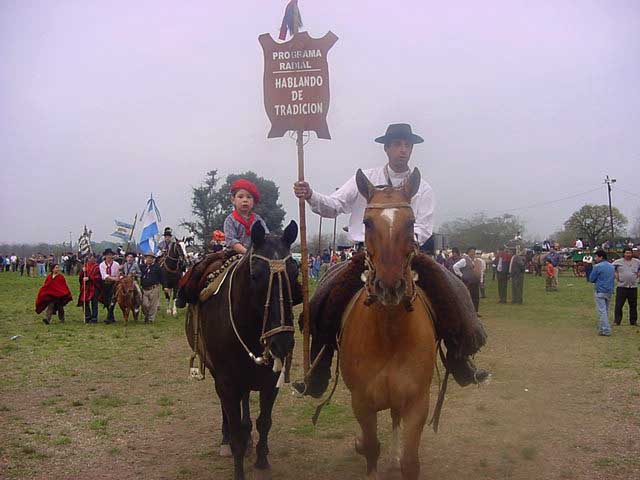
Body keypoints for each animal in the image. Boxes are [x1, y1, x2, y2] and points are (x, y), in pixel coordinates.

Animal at [188, 221, 300, 480]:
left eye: (294, 273)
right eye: (255, 275)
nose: (282, 341)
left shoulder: (270, 381)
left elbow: (264, 422)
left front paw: (261, 458)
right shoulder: (227, 382)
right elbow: (236, 429)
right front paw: (238, 462)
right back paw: (226, 440)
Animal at [340, 169, 440, 480]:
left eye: (410, 222)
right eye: (367, 222)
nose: (390, 287)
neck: (389, 333)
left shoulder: (417, 402)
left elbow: (410, 462)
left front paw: (399, 459)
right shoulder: (361, 403)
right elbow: (372, 447)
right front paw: (363, 446)